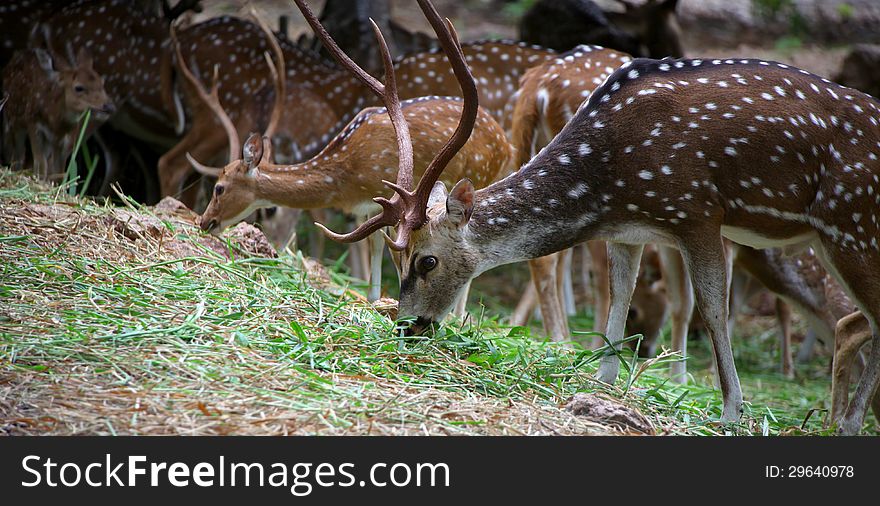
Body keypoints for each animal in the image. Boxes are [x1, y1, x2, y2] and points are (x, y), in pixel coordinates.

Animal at [1, 46, 115, 180]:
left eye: (102, 83)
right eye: (79, 87)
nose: (109, 106)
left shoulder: (64, 139)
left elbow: (58, 171)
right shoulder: (33, 123)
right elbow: (41, 163)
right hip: (13, 119)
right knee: (17, 154)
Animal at [340, 43, 876, 432]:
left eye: (426, 261)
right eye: (397, 257)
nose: (406, 326)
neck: (610, 178)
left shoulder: (697, 211)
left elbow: (710, 307)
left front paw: (729, 411)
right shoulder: (631, 229)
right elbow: (621, 295)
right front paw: (602, 385)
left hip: (851, 223)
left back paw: (848, 423)